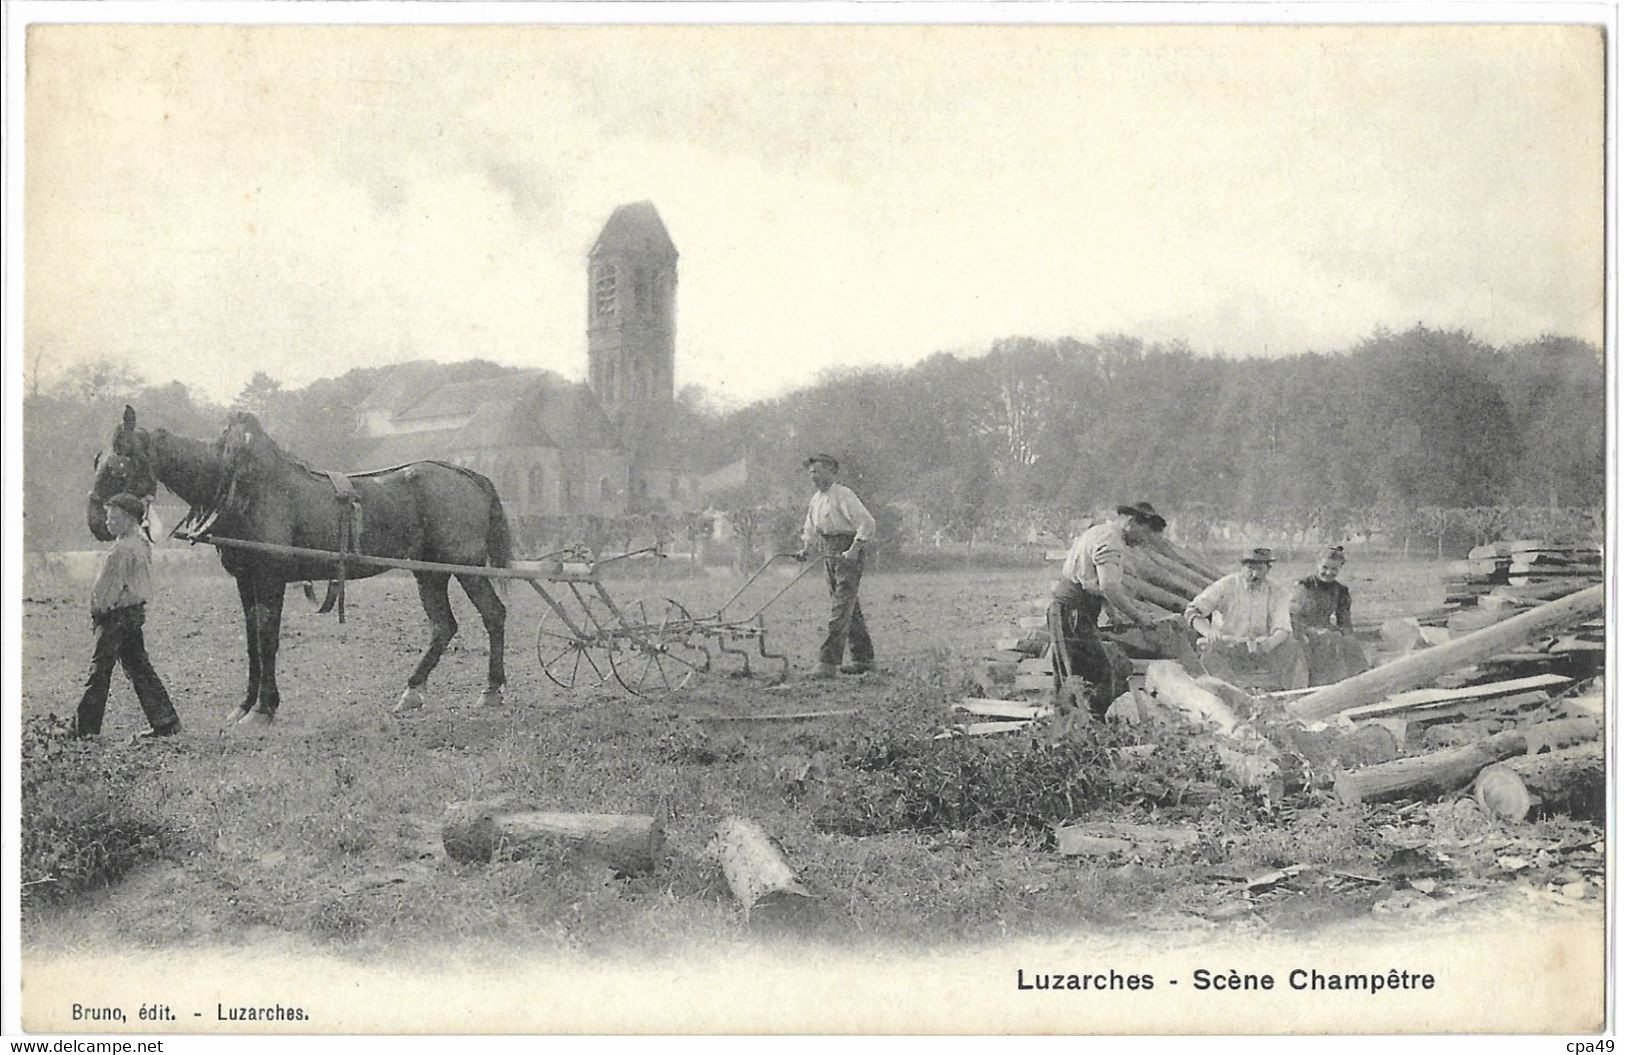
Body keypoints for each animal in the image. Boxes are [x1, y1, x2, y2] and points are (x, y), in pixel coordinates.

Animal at [90, 403, 507, 725]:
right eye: (98, 461)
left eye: (118, 466)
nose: (97, 522)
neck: (240, 486)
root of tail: (468, 475)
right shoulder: (245, 580)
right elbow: (251, 643)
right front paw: (246, 705)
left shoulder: (270, 578)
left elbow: (267, 640)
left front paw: (263, 710)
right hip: (429, 571)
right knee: (443, 626)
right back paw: (413, 691)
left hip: (464, 566)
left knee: (493, 614)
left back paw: (492, 690)